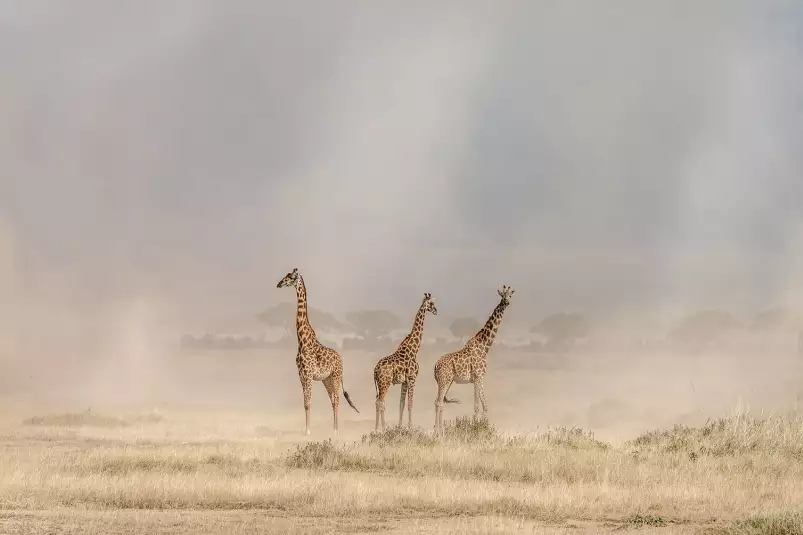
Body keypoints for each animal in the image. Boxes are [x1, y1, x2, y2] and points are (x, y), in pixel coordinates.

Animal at [280, 270, 362, 438]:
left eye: (291, 277)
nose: (279, 284)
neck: (302, 340)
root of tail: (341, 359)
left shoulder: (308, 375)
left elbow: (308, 402)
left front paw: (308, 431)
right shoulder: (301, 375)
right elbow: (305, 403)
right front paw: (306, 430)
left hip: (336, 376)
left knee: (337, 399)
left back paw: (336, 430)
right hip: (327, 379)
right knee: (333, 400)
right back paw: (333, 429)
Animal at [372, 294, 436, 432]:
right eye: (431, 303)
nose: (436, 311)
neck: (414, 349)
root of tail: (375, 370)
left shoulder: (404, 381)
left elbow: (401, 404)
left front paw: (400, 426)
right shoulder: (412, 378)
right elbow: (410, 404)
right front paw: (410, 426)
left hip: (380, 384)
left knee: (378, 402)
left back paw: (377, 428)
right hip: (385, 383)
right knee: (380, 402)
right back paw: (382, 429)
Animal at [434, 286, 516, 434]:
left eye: (510, 295)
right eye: (502, 295)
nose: (506, 302)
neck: (485, 346)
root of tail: (435, 366)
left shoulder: (480, 378)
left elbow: (485, 405)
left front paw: (484, 427)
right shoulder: (478, 376)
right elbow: (477, 406)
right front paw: (476, 428)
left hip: (447, 381)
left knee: (438, 401)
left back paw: (438, 428)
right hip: (444, 381)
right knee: (439, 402)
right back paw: (438, 430)